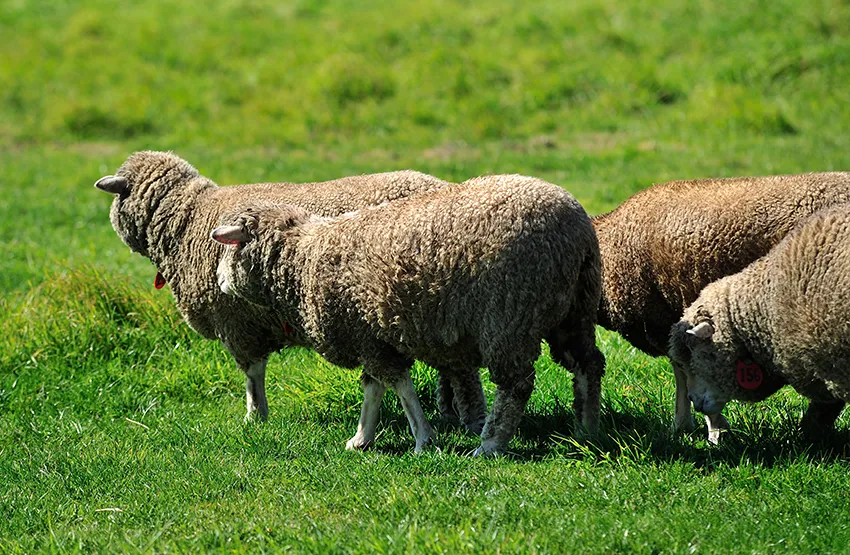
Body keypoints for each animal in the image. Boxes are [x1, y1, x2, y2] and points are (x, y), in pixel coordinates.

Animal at [94, 150, 476, 424]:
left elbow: (252, 374)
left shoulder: (236, 323)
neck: (185, 219)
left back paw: (465, 417)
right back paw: (451, 413)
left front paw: (255, 417)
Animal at [210, 175, 604, 456]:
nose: (218, 280)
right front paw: (362, 438)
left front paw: (422, 438)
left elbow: (399, 386)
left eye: (230, 248)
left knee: (516, 385)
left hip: (510, 316)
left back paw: (490, 444)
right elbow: (374, 387)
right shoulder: (370, 336)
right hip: (574, 310)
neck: (305, 259)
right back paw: (587, 425)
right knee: (589, 363)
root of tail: (576, 231)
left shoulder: (368, 336)